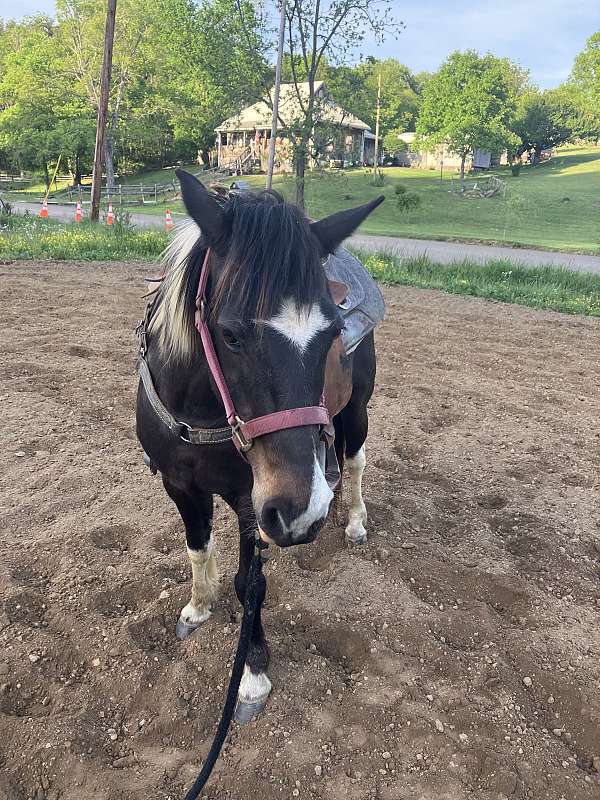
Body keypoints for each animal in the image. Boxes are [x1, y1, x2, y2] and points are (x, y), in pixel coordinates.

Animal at [136, 170, 383, 721]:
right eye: (229, 334)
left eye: (333, 331)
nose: (300, 513)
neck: (200, 415)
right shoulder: (180, 485)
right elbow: (198, 548)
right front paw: (198, 606)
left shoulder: (252, 503)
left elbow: (250, 584)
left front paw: (251, 672)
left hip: (355, 410)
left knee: (354, 460)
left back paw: (354, 519)